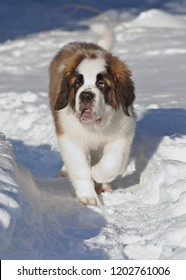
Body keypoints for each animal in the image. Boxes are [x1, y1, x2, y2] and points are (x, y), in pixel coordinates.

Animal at [49, 24, 136, 206]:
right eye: (77, 83)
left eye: (101, 84)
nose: (86, 96)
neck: (96, 125)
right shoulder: (70, 138)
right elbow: (81, 169)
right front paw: (88, 197)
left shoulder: (123, 133)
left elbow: (113, 162)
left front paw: (97, 174)